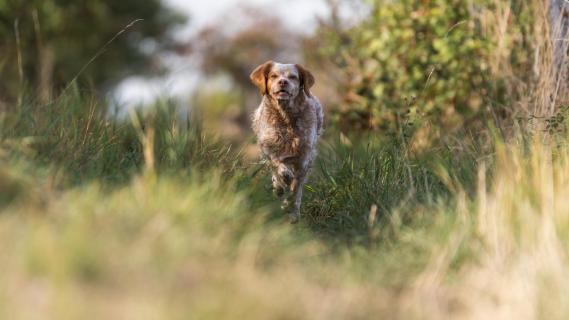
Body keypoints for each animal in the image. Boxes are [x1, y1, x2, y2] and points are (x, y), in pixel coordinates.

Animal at [250, 62, 324, 222]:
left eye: (293, 77)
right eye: (273, 76)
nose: (283, 82)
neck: (286, 117)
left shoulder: (303, 160)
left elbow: (296, 189)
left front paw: (292, 211)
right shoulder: (270, 151)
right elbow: (280, 170)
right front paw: (281, 185)